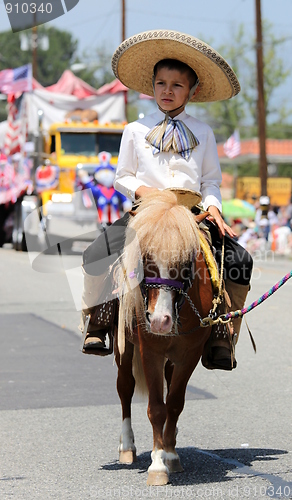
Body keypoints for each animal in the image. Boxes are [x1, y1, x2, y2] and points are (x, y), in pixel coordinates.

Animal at [115, 190, 213, 484]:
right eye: (146, 258)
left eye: (184, 262)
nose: (159, 321)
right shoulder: (151, 352)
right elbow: (156, 408)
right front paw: (158, 465)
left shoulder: (189, 354)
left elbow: (175, 403)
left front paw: (169, 454)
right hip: (124, 350)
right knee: (125, 387)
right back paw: (127, 446)